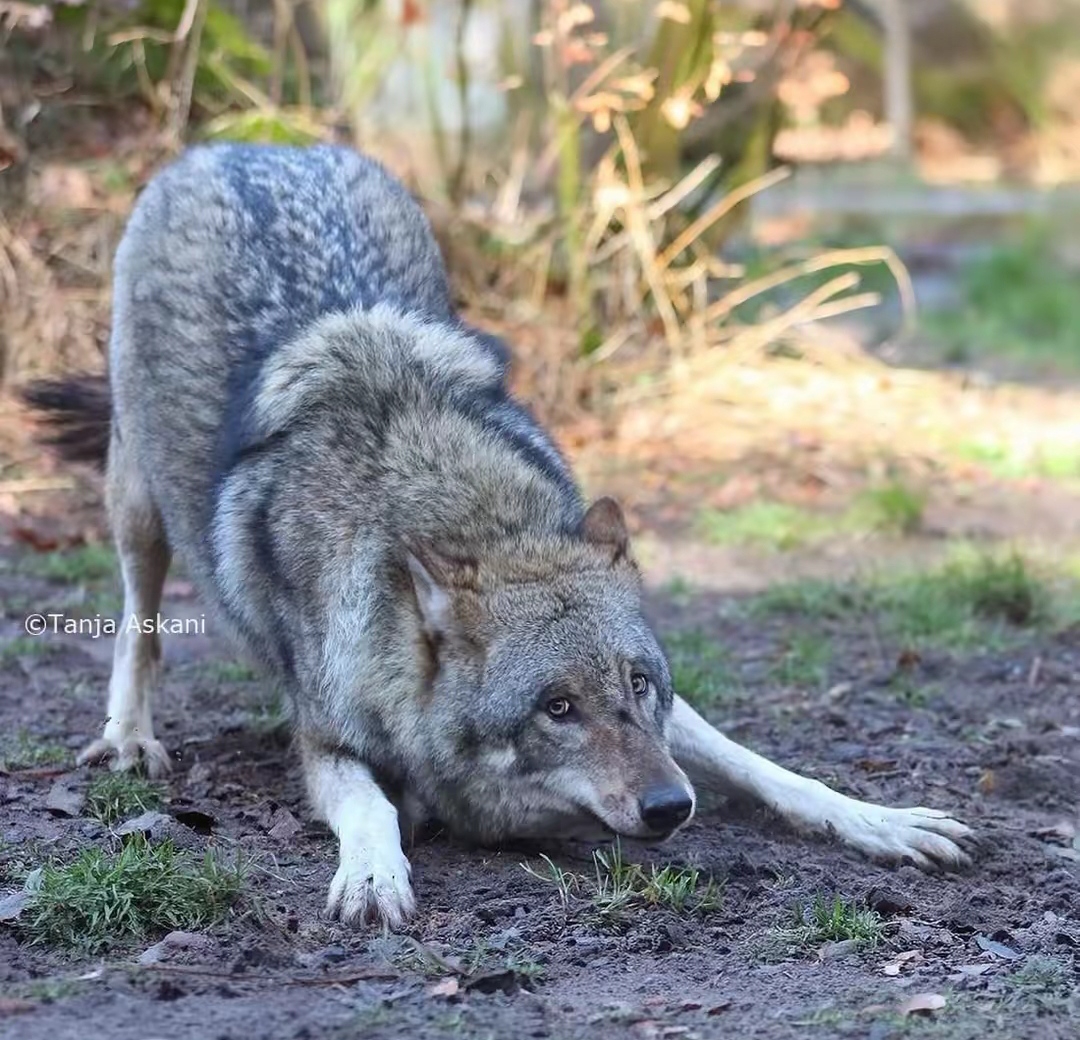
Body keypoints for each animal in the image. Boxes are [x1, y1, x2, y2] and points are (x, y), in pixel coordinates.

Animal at [21, 143, 972, 928]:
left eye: (639, 685)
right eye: (558, 708)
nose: (672, 808)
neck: (472, 515)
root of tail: (249, 144)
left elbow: (763, 764)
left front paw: (881, 820)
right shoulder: (325, 741)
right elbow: (371, 808)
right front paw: (374, 875)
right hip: (136, 506)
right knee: (138, 621)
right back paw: (130, 736)